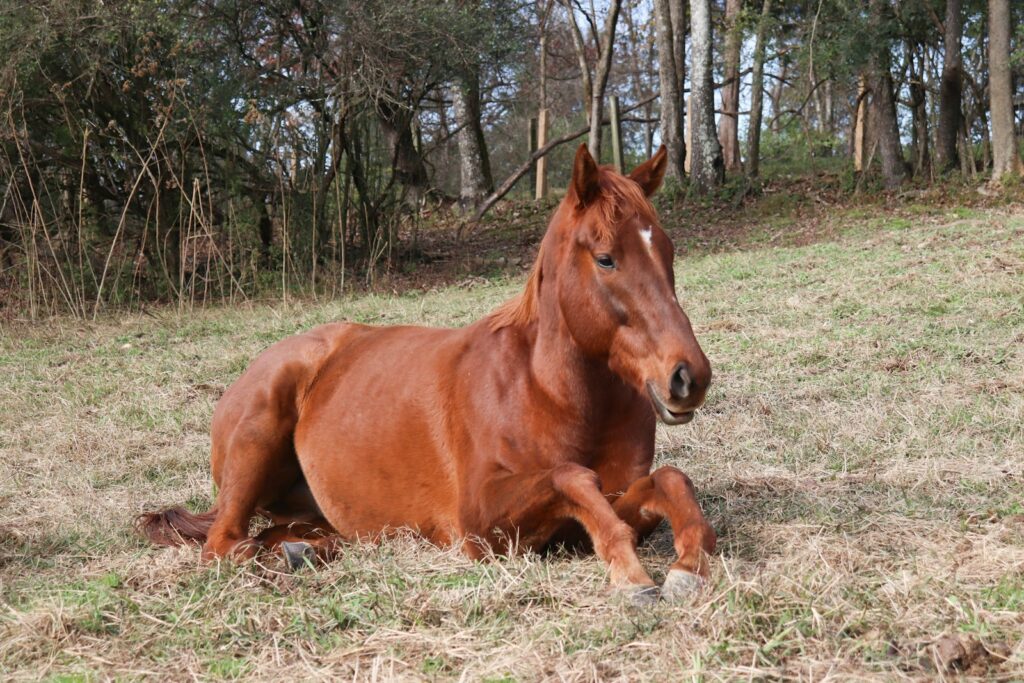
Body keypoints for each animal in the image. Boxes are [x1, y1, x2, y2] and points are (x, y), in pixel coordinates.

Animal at [139, 144, 715, 603]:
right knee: (224, 546)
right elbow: (573, 477)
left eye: (667, 250)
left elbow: (668, 480)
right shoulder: (482, 526)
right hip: (256, 440)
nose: (689, 377)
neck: (546, 390)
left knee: (282, 536)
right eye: (606, 258)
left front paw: (689, 564)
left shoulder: (611, 499)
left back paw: (303, 551)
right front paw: (632, 574)